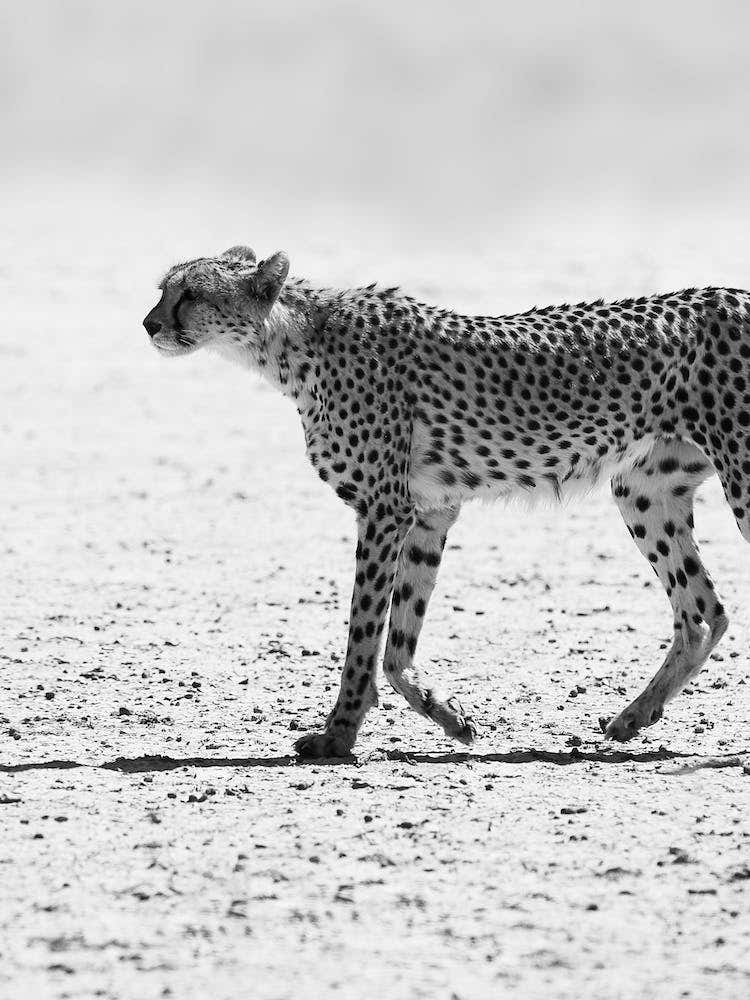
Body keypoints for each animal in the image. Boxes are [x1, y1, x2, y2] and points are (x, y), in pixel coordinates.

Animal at [143, 244, 749, 757]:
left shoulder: (384, 510)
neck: (292, 342)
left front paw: (338, 734)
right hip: (644, 490)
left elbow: (363, 633)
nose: (149, 323)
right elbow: (397, 643)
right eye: (163, 289)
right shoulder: (430, 511)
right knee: (703, 612)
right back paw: (633, 717)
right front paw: (450, 718)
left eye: (190, 294)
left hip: (738, 479)